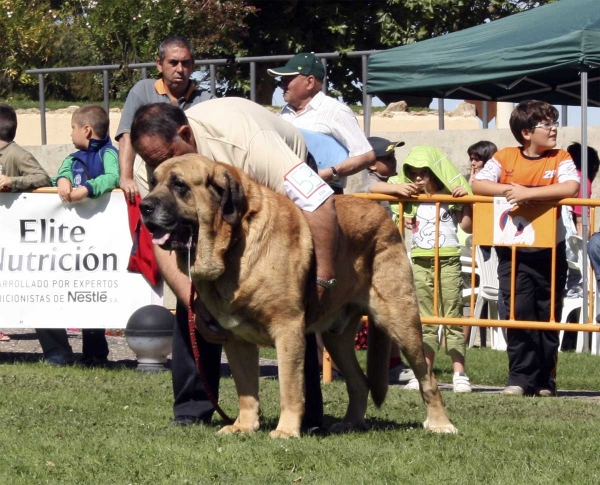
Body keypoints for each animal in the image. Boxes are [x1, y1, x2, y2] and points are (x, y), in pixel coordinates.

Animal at [141, 155, 458, 438]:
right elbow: (246, 389)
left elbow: (290, 387)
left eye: (179, 184)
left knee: (427, 377)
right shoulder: (235, 338)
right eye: (153, 182)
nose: (144, 206)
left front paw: (286, 431)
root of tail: (385, 215)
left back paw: (441, 424)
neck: (234, 245)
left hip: (401, 321)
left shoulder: (288, 329)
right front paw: (244, 426)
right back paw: (350, 423)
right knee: (359, 382)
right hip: (336, 339)